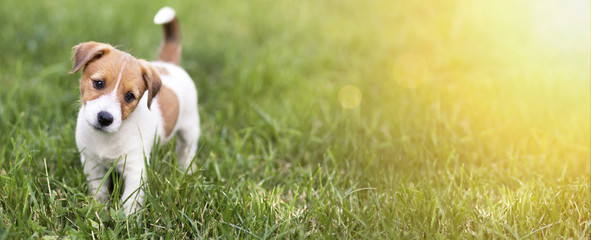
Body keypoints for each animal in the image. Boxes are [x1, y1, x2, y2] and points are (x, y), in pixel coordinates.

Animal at [69, 6, 201, 216]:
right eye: (98, 83)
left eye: (130, 96)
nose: (105, 118)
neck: (108, 138)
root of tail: (169, 65)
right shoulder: (92, 164)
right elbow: (99, 191)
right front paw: (99, 210)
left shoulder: (135, 169)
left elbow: (129, 201)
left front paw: (127, 220)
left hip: (190, 128)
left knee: (186, 150)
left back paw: (187, 169)